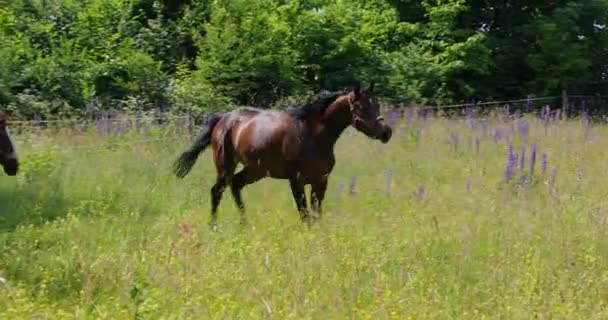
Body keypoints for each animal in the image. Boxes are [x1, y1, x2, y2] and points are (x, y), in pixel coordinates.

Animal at [173, 83, 392, 228]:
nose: (386, 132)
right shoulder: (296, 181)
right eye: (361, 106)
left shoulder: (321, 181)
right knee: (217, 191)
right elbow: (304, 213)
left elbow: (316, 213)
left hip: (255, 170)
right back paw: (213, 225)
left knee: (235, 185)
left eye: (377, 104)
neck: (313, 135)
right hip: (226, 166)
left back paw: (245, 224)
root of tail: (223, 119)